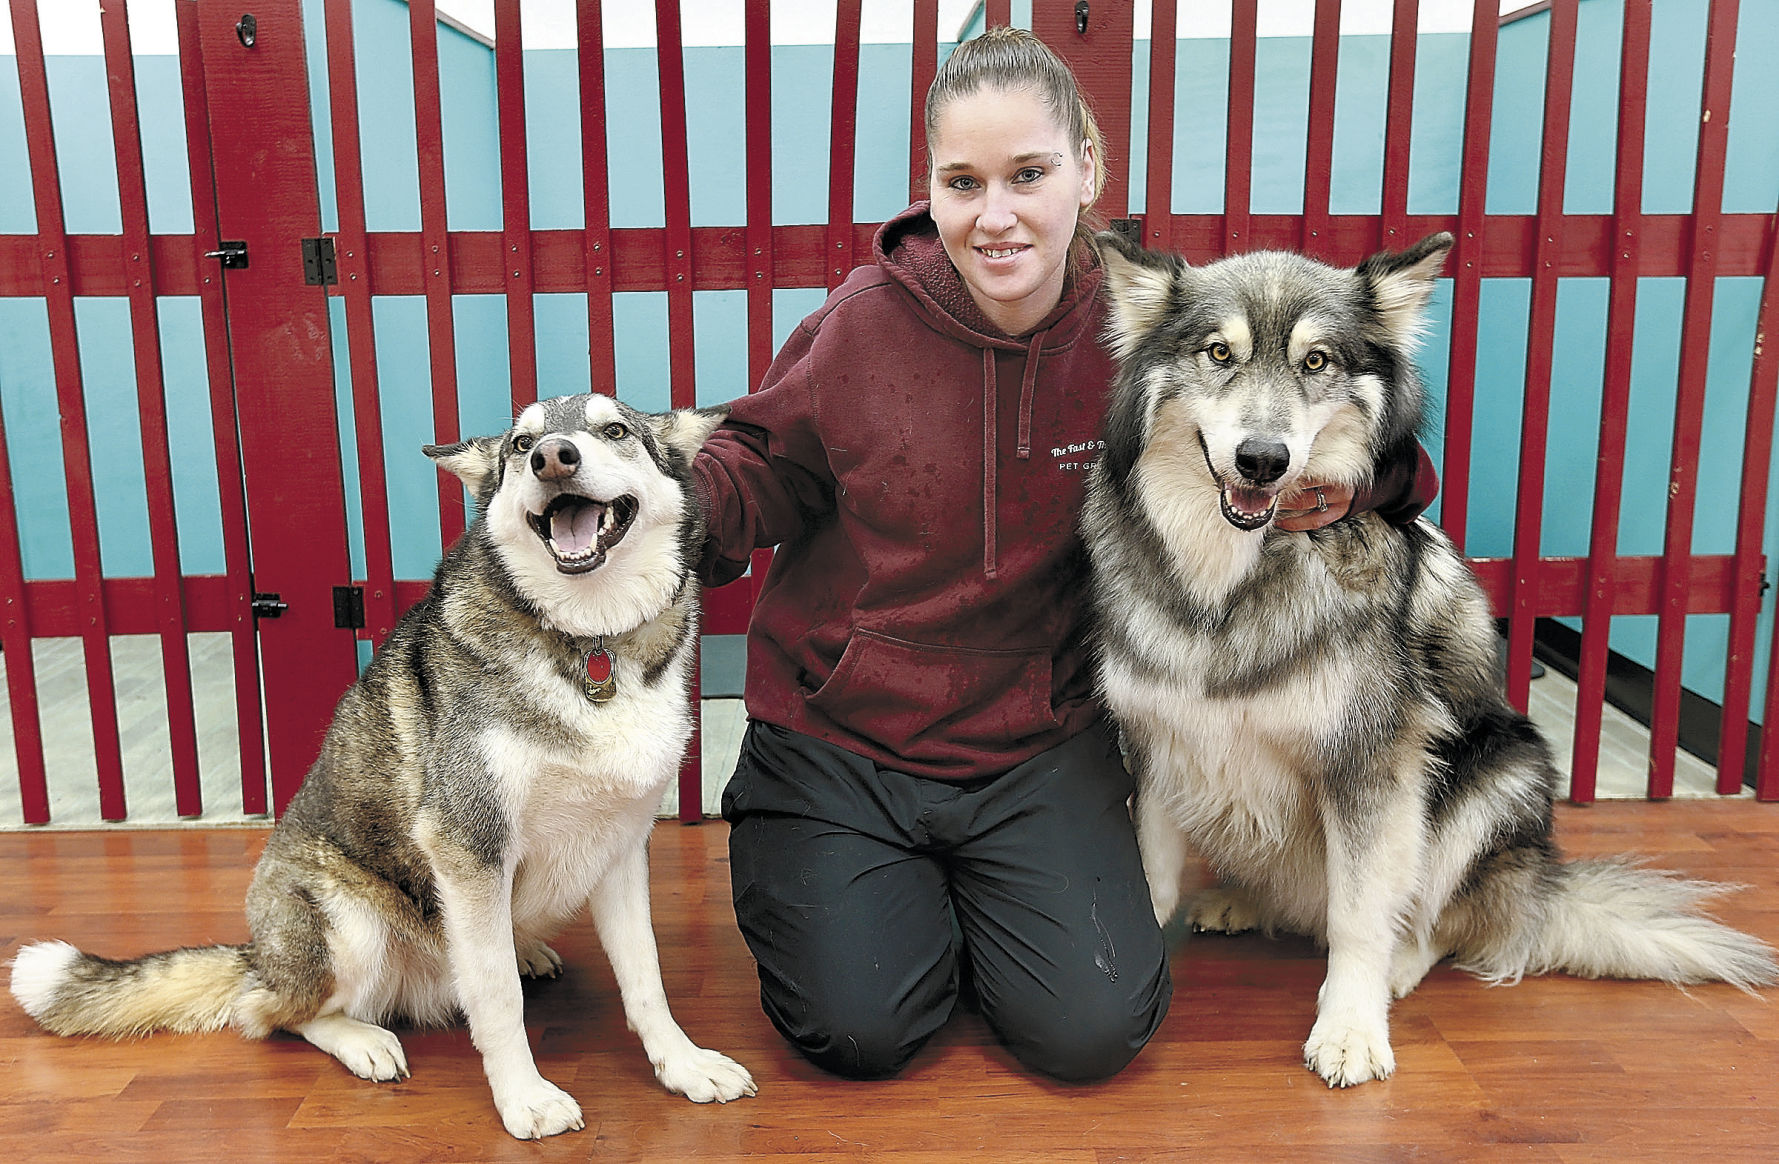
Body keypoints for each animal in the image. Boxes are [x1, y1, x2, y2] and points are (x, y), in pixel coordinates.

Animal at [8, 391, 757, 1139]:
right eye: (521, 445)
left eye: (614, 430)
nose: (553, 458)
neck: (589, 642)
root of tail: (260, 953)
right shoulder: (467, 844)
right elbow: (496, 997)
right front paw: (524, 1097)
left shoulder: (620, 846)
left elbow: (646, 978)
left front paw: (683, 1064)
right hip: (351, 928)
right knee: (269, 1012)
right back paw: (363, 1040)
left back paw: (523, 949)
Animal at [1081, 229, 1779, 1096]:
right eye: (1218, 353)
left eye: (1316, 361)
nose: (1261, 460)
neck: (1230, 576)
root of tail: (1537, 888)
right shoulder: (1160, 741)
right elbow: (1151, 874)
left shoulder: (1371, 766)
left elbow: (1357, 917)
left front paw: (1349, 1029)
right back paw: (1245, 902)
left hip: (1497, 776)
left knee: (1435, 919)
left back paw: (1397, 966)